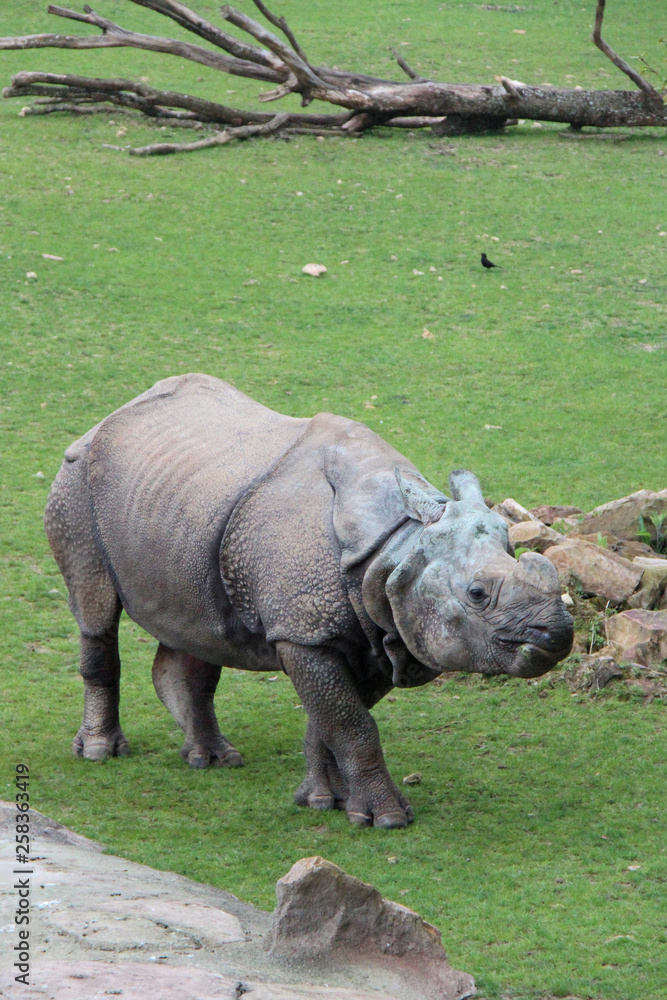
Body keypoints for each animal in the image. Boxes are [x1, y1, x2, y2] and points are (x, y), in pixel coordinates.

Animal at [45, 374, 573, 828]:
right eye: (477, 595)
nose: (558, 633)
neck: (395, 549)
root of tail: (111, 415)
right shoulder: (305, 634)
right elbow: (351, 723)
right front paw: (387, 818)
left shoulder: (376, 630)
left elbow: (334, 719)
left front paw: (325, 801)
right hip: (77, 482)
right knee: (95, 607)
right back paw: (102, 752)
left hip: (179, 505)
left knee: (198, 627)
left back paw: (213, 760)